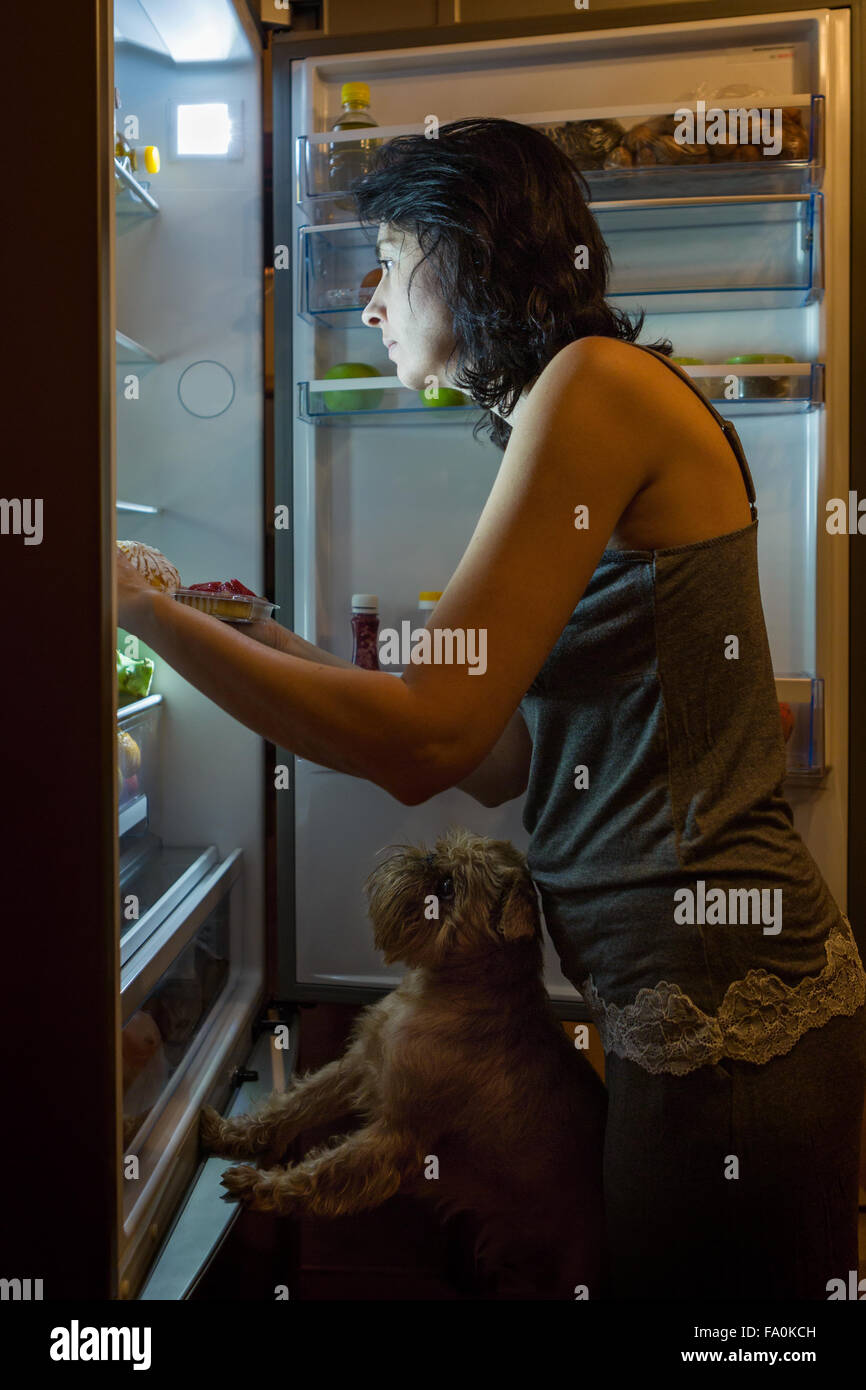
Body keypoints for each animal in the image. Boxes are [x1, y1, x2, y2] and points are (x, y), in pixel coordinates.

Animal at [201, 822, 608, 1289]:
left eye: (447, 887)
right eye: (440, 852)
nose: (427, 859)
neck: (452, 987)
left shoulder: (396, 1135)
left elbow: (325, 1170)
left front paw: (262, 1188)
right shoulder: (360, 1065)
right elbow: (294, 1104)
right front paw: (234, 1134)